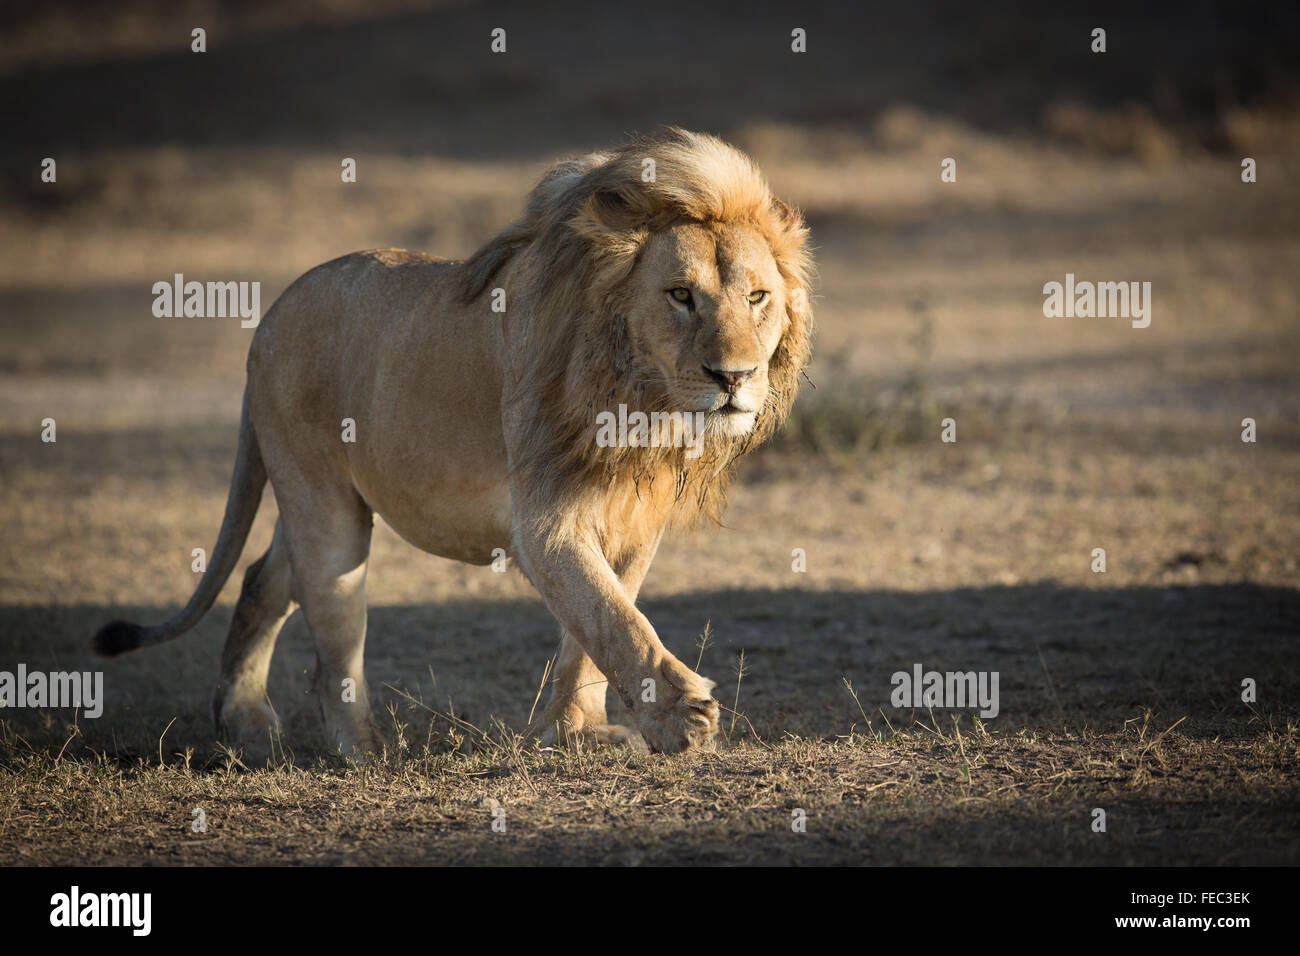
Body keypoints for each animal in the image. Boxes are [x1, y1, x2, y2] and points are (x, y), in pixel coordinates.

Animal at [94, 128, 811, 754]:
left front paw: (573, 731)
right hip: (326, 509)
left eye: (757, 297)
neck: (641, 399)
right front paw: (681, 716)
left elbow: (593, 631)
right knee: (331, 638)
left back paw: (242, 721)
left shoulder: (634, 522)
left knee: (261, 580)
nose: (734, 377)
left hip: (312, 502)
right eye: (681, 295)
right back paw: (363, 750)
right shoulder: (545, 522)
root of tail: (268, 317)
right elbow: (614, 620)